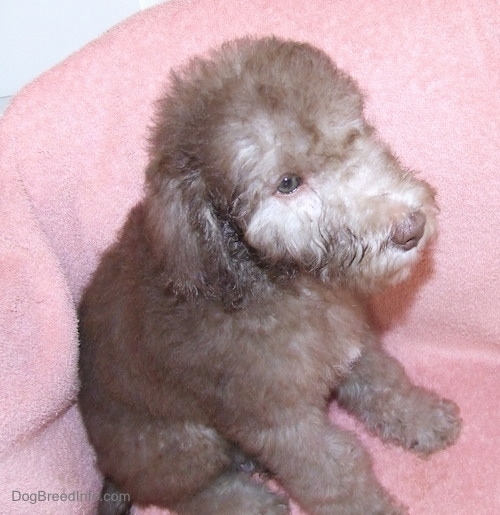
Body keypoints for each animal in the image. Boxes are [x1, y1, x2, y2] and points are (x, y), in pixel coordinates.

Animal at [78, 37, 460, 515]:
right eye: (288, 183)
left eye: (352, 136)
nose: (411, 228)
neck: (282, 279)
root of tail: (109, 471)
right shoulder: (279, 421)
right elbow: (335, 476)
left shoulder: (353, 343)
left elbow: (385, 382)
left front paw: (423, 418)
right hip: (180, 443)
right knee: (189, 493)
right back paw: (250, 501)